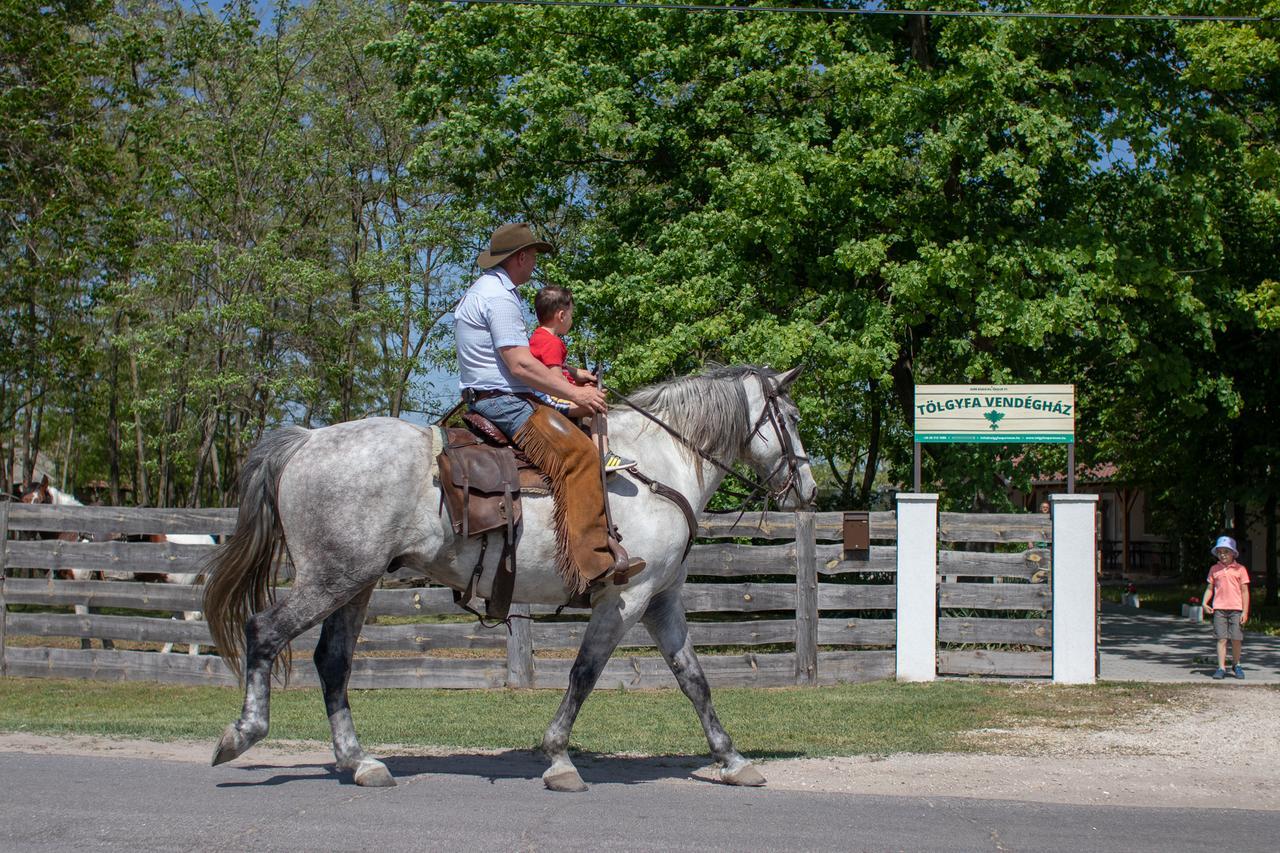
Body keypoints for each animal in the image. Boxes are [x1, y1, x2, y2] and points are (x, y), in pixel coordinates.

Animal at [203, 361, 814, 788]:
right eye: (794, 420)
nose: (809, 489)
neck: (658, 466)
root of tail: (307, 440)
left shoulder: (661, 601)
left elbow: (694, 680)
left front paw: (733, 759)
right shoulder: (627, 597)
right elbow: (585, 673)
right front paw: (558, 757)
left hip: (357, 583)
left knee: (333, 661)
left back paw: (359, 762)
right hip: (331, 577)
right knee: (264, 630)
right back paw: (242, 734)